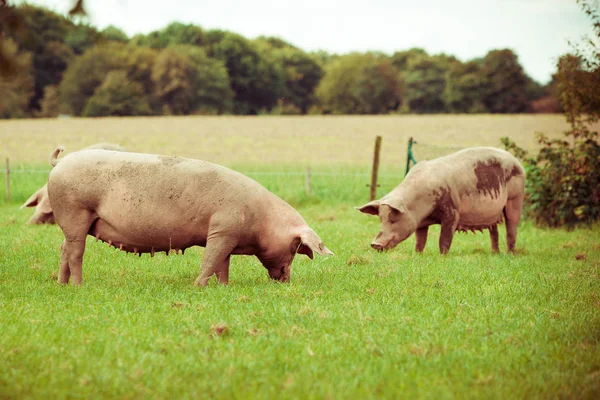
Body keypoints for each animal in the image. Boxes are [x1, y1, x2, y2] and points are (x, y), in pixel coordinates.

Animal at [47, 148, 336, 286]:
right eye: (295, 246)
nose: (286, 280)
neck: (260, 219)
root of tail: (60, 163)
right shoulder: (223, 229)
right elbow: (210, 260)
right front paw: (198, 286)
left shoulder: (225, 236)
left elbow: (223, 264)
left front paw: (224, 287)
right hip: (75, 211)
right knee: (76, 252)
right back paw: (79, 286)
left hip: (72, 222)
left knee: (64, 249)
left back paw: (62, 285)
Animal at [356, 147, 524, 253]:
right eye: (381, 219)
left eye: (392, 218)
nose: (374, 244)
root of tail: (518, 162)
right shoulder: (420, 223)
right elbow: (420, 240)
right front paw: (417, 254)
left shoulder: (452, 211)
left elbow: (444, 238)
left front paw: (442, 256)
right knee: (494, 231)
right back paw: (495, 253)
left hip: (516, 198)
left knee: (511, 228)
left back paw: (509, 254)